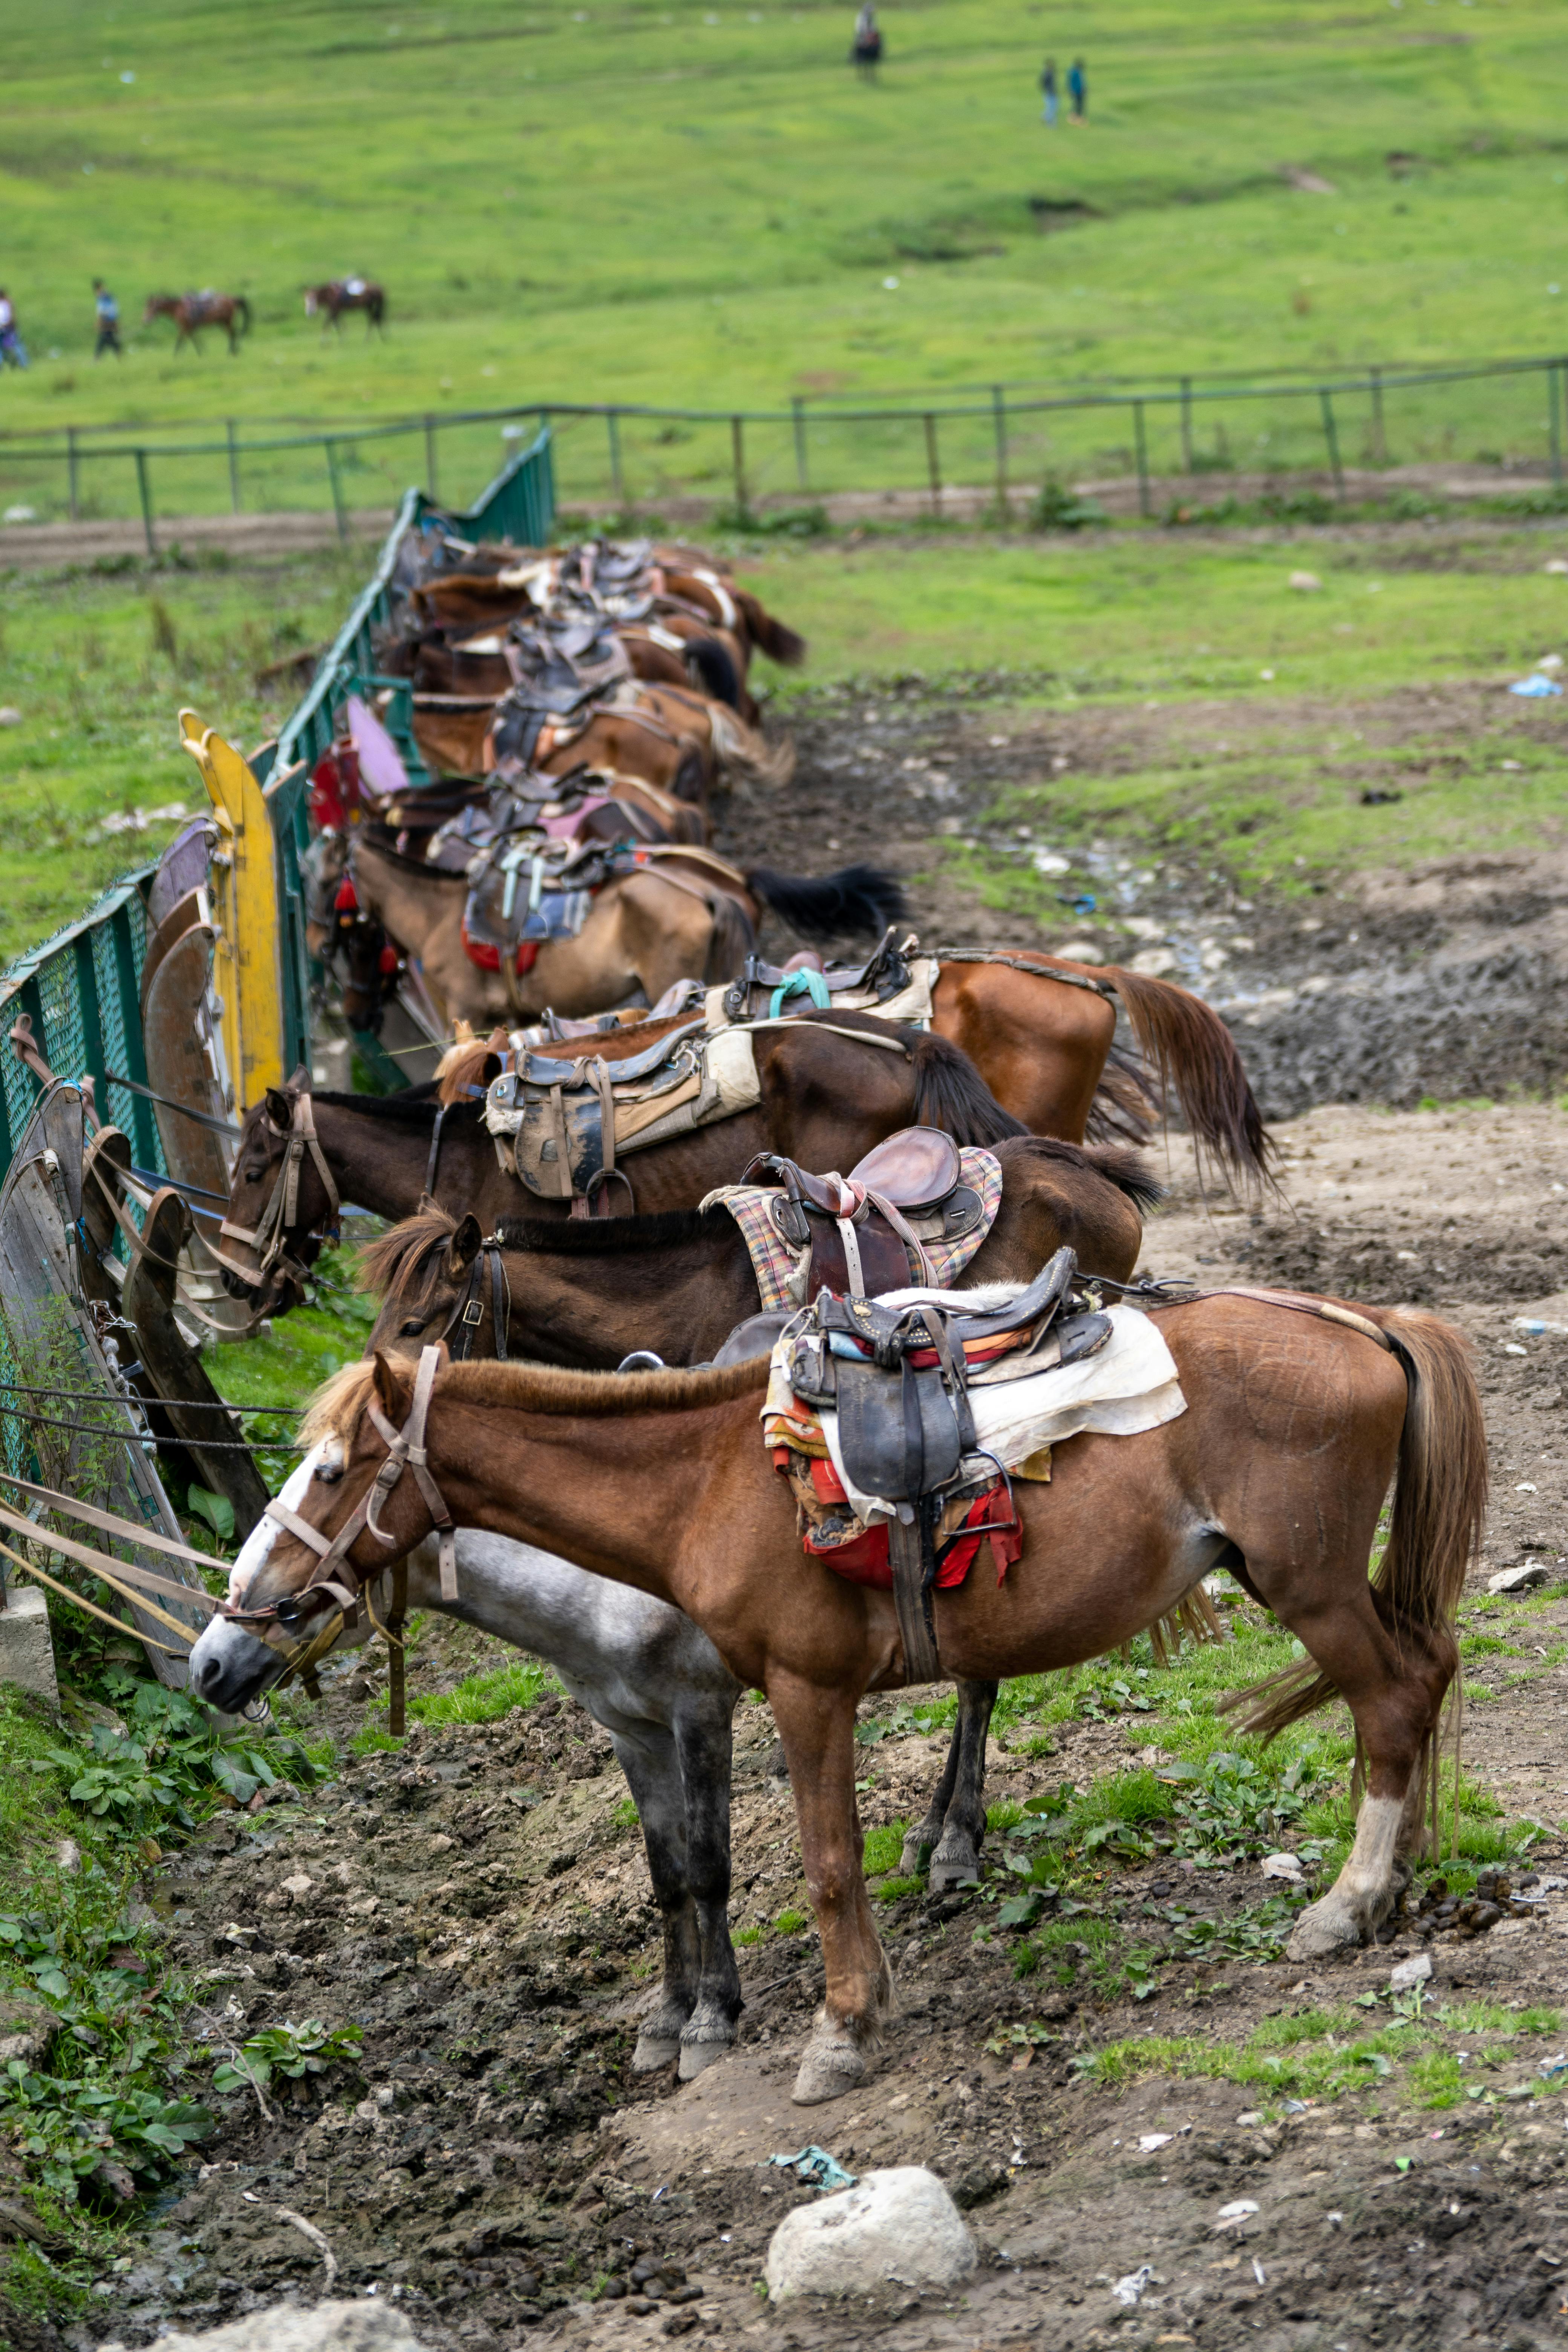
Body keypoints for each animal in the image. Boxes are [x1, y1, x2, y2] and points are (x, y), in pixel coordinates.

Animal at [142, 292, 251, 354]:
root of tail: (232, 300)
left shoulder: (184, 327)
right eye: (147, 307)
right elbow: (193, 338)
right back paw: (234, 350)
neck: (178, 308)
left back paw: (231, 351)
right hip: (222, 323)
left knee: (233, 333)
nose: (145, 321)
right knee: (232, 334)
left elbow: (181, 340)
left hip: (226, 321)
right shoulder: (188, 327)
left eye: (151, 308)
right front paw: (202, 351)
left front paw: (176, 355)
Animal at [190, 1289, 1486, 2104]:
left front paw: (838, 2033)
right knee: (1422, 1674)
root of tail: (1366, 1321)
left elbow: (818, 1864)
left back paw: (1347, 1902)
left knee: (1389, 1700)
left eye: (327, 1469)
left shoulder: (797, 1695)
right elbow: (702, 1871)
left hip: (1310, 1584)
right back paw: (1397, 1876)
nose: (219, 1649)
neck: (708, 1479)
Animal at [305, 280, 386, 334]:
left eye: (311, 300)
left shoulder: (334, 310)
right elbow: (336, 322)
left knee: (374, 319)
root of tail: (378, 289)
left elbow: (329, 323)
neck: (330, 294)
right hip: (369, 306)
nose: (309, 313)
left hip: (369, 306)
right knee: (375, 319)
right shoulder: (336, 311)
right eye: (306, 301)